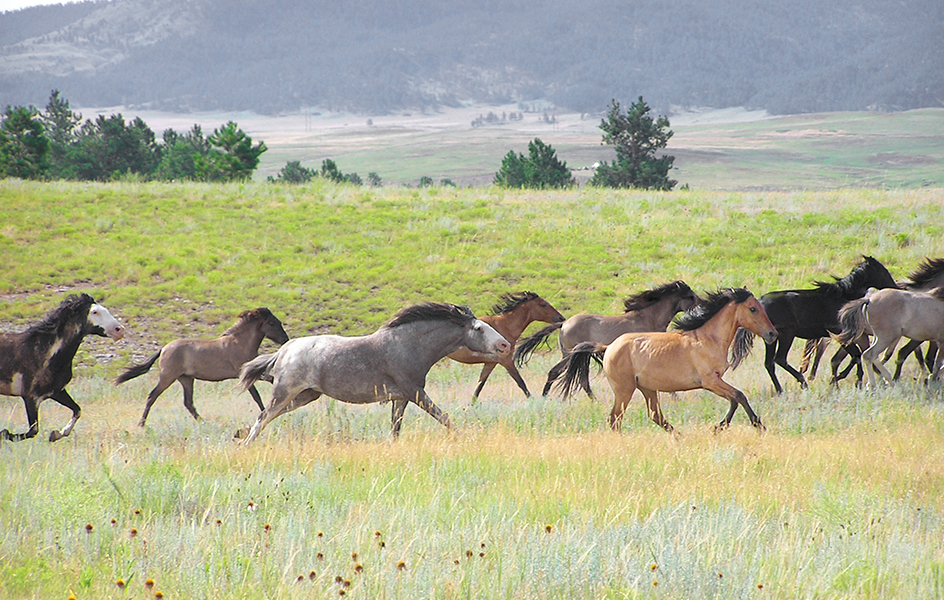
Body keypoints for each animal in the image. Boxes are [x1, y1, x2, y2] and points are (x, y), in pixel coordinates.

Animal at [114, 310, 286, 426]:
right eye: (271, 323)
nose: (285, 339)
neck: (241, 344)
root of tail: (163, 348)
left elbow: (267, 383)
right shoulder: (244, 373)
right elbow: (258, 394)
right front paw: (266, 413)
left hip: (186, 379)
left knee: (188, 402)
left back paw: (203, 421)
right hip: (168, 377)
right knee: (152, 396)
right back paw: (141, 424)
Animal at [240, 302, 512, 442]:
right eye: (479, 328)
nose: (505, 345)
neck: (408, 345)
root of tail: (283, 351)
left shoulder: (400, 399)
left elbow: (395, 430)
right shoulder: (414, 392)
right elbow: (444, 418)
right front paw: (465, 438)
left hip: (306, 395)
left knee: (269, 416)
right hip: (285, 391)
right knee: (263, 417)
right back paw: (246, 446)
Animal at [508, 282, 700, 398]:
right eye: (691, 296)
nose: (702, 306)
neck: (648, 318)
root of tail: (563, 323)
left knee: (580, 380)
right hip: (570, 354)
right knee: (556, 372)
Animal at [552, 290, 776, 434]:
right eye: (753, 309)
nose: (772, 334)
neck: (708, 338)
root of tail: (608, 348)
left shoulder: (715, 382)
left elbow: (735, 400)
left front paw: (719, 427)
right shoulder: (710, 381)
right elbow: (739, 396)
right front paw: (758, 426)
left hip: (647, 389)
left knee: (655, 416)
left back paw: (679, 437)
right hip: (625, 390)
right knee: (615, 418)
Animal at [756, 254, 896, 392]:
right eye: (883, 271)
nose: (894, 286)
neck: (842, 297)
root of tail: (761, 302)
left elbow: (854, 356)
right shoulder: (839, 334)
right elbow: (855, 355)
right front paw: (843, 380)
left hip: (771, 338)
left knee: (769, 363)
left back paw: (781, 390)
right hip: (786, 336)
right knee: (780, 359)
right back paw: (802, 382)